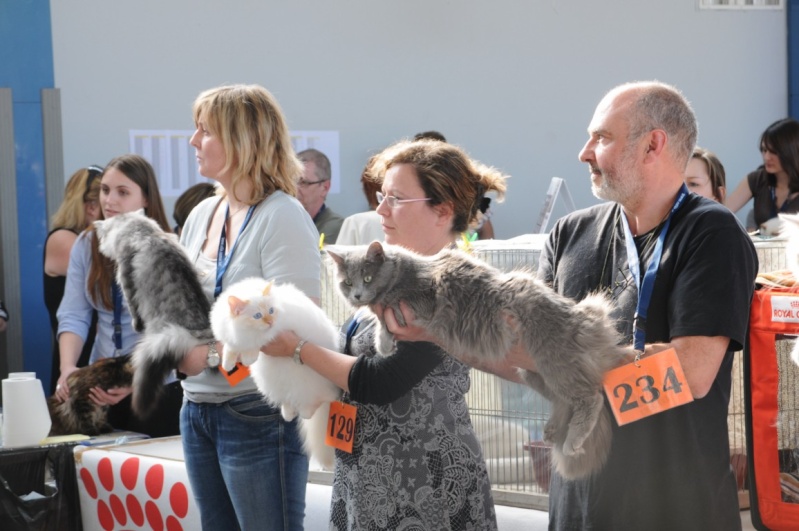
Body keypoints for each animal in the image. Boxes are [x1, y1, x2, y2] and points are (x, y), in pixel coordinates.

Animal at [209, 276, 340, 468]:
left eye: (271, 310)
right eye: (257, 316)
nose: (270, 322)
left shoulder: (272, 334)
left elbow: (257, 344)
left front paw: (248, 358)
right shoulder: (233, 337)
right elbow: (230, 348)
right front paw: (227, 363)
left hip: (309, 386)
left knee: (314, 403)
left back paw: (305, 411)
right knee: (288, 401)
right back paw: (288, 414)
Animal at [328, 239, 628, 480]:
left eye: (367, 278)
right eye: (347, 282)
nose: (356, 294)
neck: (404, 272)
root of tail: (584, 317)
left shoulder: (419, 300)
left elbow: (390, 311)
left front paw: (384, 334)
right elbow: (382, 323)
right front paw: (384, 341)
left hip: (554, 362)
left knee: (590, 398)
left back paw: (572, 441)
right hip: (533, 372)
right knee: (564, 401)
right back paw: (553, 430)